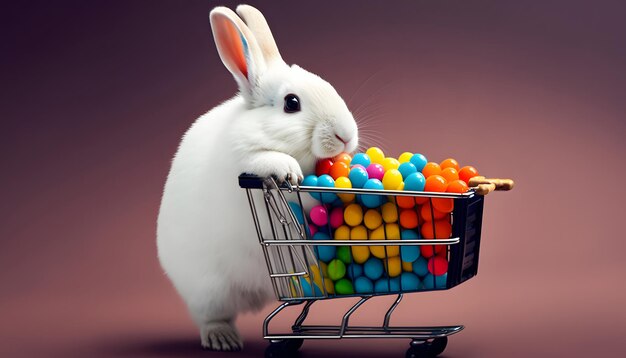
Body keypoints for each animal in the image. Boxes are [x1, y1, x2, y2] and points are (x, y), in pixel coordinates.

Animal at [156, 4, 358, 352]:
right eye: (292, 103)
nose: (345, 136)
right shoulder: (246, 160)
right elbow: (275, 165)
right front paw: (289, 170)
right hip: (209, 291)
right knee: (212, 317)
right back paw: (222, 338)